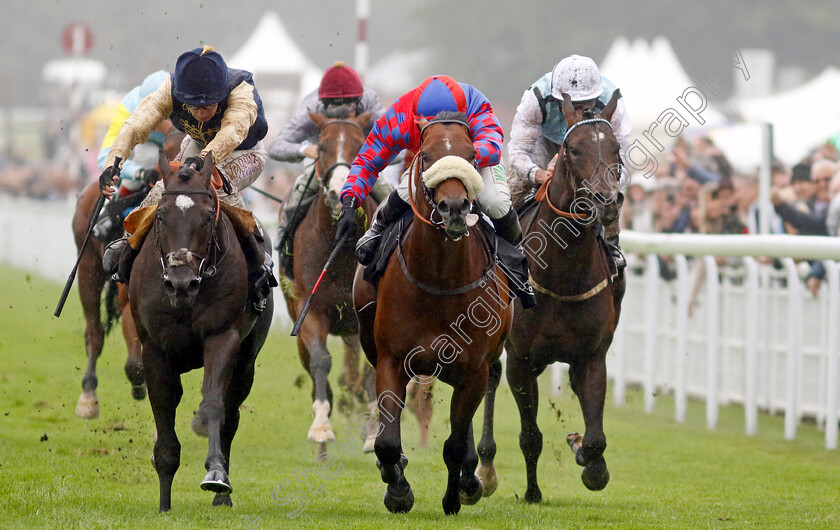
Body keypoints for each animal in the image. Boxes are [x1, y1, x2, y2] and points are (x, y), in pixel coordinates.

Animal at [129, 151, 272, 510]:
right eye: (161, 216)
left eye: (208, 217)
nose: (181, 283)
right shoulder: (154, 349)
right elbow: (163, 407)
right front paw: (164, 499)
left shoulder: (222, 337)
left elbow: (213, 405)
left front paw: (216, 475)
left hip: (246, 360)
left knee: (232, 413)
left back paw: (222, 495)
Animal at [352, 111, 512, 512]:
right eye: (426, 156)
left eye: (472, 155)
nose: (453, 208)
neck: (438, 279)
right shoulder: (392, 359)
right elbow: (387, 440)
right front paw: (397, 489)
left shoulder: (473, 368)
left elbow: (454, 443)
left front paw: (456, 495)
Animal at [482, 89, 628, 500]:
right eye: (573, 149)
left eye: (615, 148)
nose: (606, 200)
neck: (564, 275)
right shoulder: (521, 361)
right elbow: (530, 436)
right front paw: (532, 493)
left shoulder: (592, 357)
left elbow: (595, 438)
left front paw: (587, 456)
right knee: (487, 378)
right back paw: (482, 470)